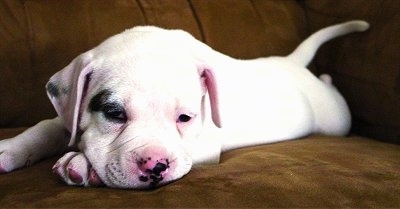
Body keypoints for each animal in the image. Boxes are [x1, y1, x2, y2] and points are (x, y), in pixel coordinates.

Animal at [0, 20, 368, 189]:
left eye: (185, 118)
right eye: (114, 113)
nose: (155, 165)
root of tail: (292, 63)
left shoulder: (204, 143)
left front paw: (81, 163)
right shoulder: (70, 116)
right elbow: (48, 127)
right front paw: (11, 149)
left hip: (337, 118)